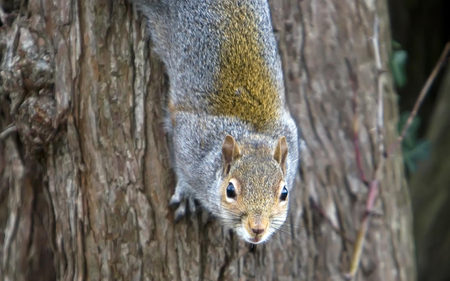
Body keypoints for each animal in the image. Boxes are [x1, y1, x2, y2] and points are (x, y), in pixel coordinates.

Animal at [135, 0, 300, 243]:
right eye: (230, 190)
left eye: (284, 193)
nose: (257, 228)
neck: (252, 135)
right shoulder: (190, 141)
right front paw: (186, 192)